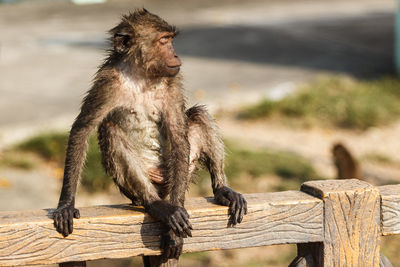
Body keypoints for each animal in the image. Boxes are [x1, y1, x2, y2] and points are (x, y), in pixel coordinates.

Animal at [53, 8, 247, 262]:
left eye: (171, 40)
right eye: (164, 41)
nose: (175, 54)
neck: (141, 77)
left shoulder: (172, 84)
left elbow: (178, 136)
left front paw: (173, 236)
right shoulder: (107, 82)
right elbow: (82, 129)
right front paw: (66, 203)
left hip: (179, 175)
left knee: (198, 116)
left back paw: (221, 189)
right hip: (138, 186)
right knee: (110, 130)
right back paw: (154, 203)